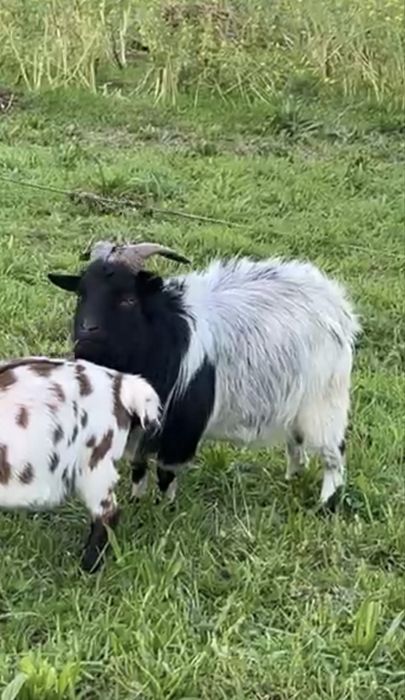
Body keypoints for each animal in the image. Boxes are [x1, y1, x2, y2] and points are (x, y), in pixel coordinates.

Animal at [48, 241, 360, 508]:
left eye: (128, 299)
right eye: (81, 294)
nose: (87, 330)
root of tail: (337, 304)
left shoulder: (180, 426)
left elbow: (166, 472)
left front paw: (166, 508)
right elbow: (139, 466)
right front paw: (137, 500)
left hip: (325, 399)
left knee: (334, 450)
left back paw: (326, 502)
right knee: (296, 440)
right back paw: (292, 476)